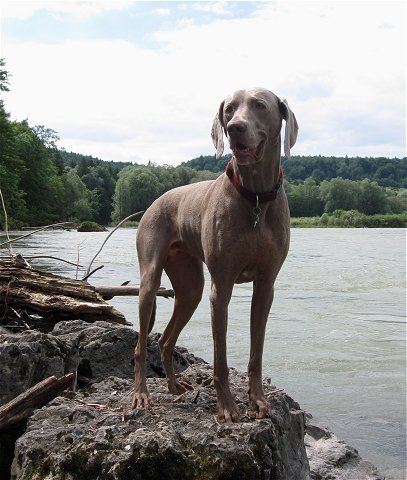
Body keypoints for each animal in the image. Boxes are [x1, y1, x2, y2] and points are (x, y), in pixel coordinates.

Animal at [132, 88, 298, 422]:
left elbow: (256, 354)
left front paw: (258, 401)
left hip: (190, 287)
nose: (234, 128)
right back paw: (142, 394)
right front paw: (227, 408)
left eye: (260, 106)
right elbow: (220, 359)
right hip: (151, 279)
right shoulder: (221, 287)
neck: (256, 198)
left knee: (165, 339)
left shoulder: (266, 286)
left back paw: (173, 386)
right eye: (229, 110)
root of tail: (155, 201)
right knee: (141, 344)